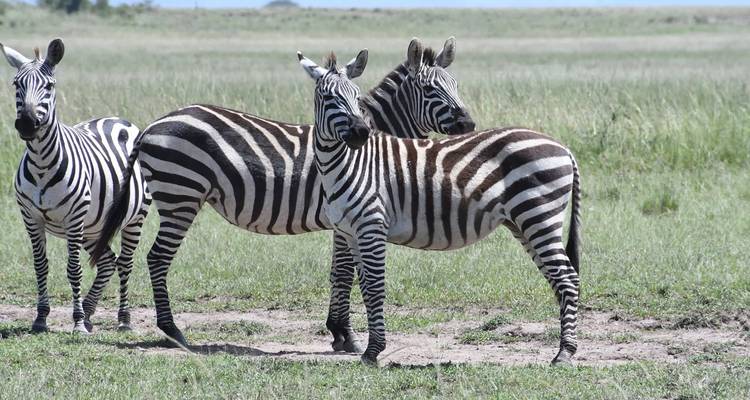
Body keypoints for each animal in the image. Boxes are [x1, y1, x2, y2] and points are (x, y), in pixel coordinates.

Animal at [1, 39, 151, 334]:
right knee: (108, 262)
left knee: (125, 263)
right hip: (94, 226)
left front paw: (78, 322)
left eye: (49, 86)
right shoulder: (30, 217)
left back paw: (123, 319)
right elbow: (40, 266)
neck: (41, 164)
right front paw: (41, 319)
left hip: (132, 218)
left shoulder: (74, 217)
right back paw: (92, 312)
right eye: (16, 84)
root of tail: (119, 119)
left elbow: (73, 269)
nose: (27, 124)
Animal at [90, 38, 475, 349]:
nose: (468, 124)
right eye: (429, 90)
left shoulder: (346, 220)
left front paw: (337, 331)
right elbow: (345, 272)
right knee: (157, 258)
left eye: (455, 84)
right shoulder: (350, 216)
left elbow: (339, 271)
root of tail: (152, 125)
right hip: (180, 196)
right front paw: (345, 335)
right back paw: (172, 331)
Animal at [298, 50, 581, 365]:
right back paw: (564, 347)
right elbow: (359, 284)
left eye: (356, 96)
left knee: (568, 279)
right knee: (558, 279)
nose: (361, 133)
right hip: (525, 223)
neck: (346, 164)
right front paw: (365, 346)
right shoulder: (350, 233)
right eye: (327, 97)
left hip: (539, 216)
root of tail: (563, 148)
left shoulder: (371, 227)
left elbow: (373, 288)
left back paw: (565, 352)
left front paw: (373, 351)